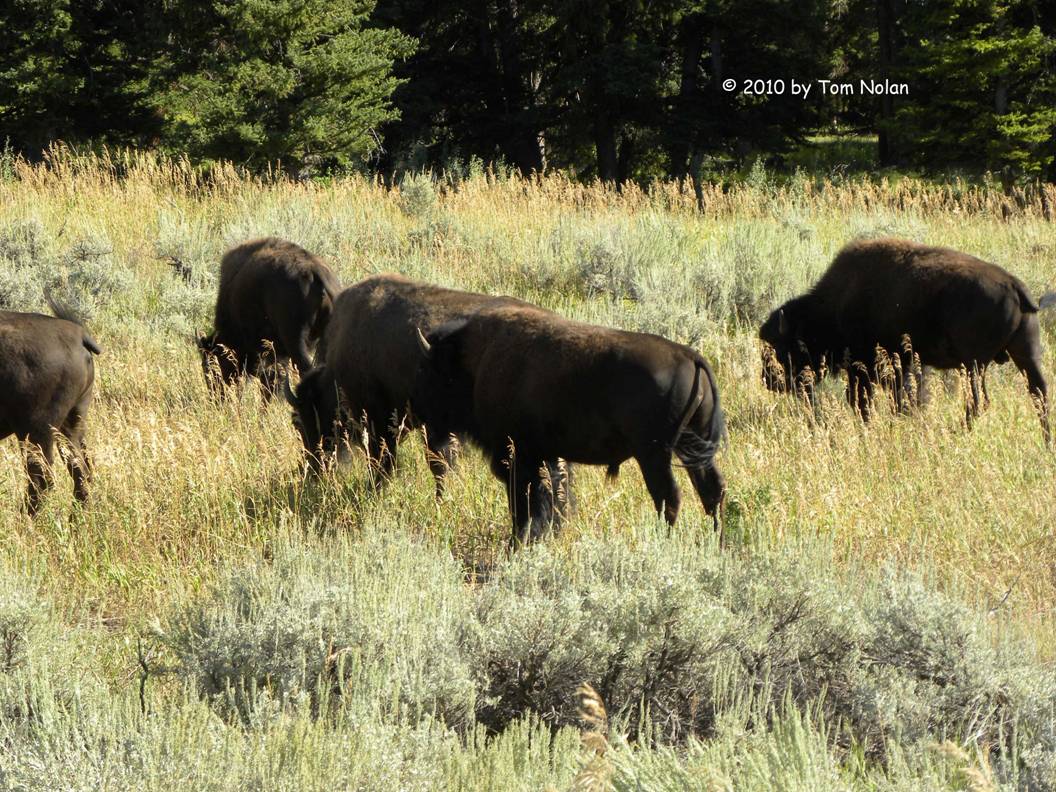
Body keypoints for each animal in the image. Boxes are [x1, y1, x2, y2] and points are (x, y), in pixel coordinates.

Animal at [411, 304, 726, 544]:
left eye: (434, 373)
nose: (425, 419)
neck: (478, 357)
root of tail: (691, 357)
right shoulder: (546, 455)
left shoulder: (518, 456)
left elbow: (527, 501)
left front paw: (520, 540)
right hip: (691, 449)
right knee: (711, 492)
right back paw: (717, 543)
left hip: (654, 455)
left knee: (668, 497)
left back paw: (667, 541)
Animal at [760, 235, 1047, 441]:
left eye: (780, 348)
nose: (768, 380)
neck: (832, 307)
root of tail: (1013, 284)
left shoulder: (865, 368)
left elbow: (864, 401)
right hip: (1024, 355)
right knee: (1038, 393)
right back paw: (1045, 441)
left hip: (973, 365)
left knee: (978, 400)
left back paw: (958, 432)